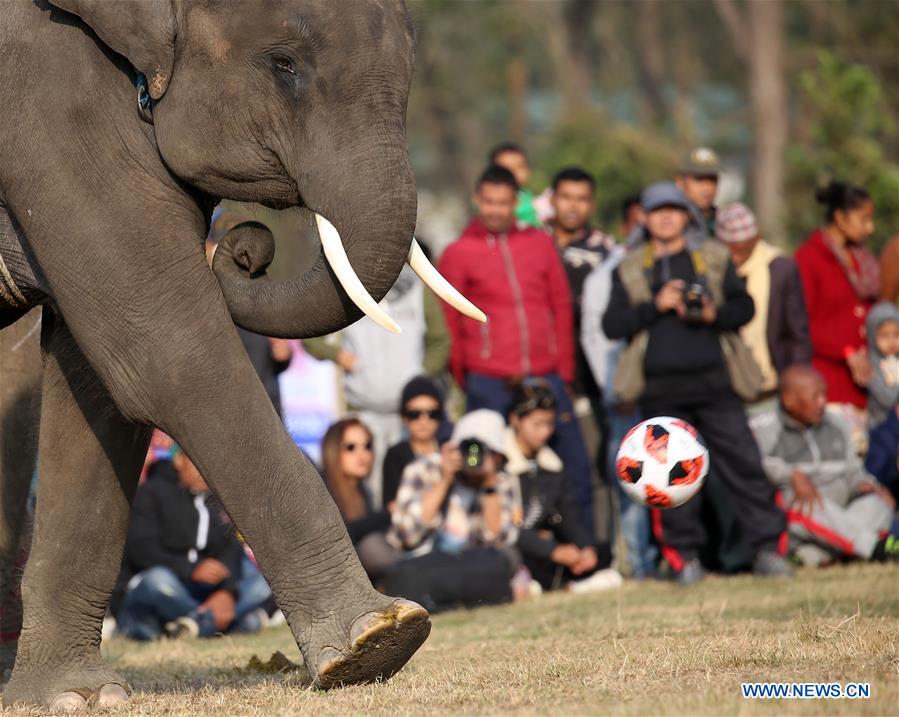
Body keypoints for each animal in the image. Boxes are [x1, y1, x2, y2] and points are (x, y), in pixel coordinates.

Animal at [0, 0, 485, 710]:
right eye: (283, 64)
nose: (240, 248)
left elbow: (98, 385)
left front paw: (76, 699)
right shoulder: (47, 105)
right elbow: (163, 352)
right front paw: (375, 642)